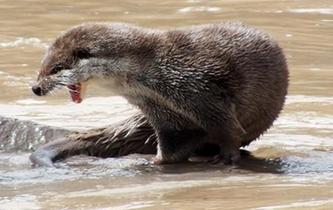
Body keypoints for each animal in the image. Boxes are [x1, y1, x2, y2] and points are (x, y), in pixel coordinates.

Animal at [30, 21, 288, 166]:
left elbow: (227, 127)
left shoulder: (202, 91)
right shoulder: (159, 109)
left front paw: (227, 158)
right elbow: (172, 143)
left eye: (55, 68)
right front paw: (156, 162)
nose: (36, 87)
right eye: (41, 66)